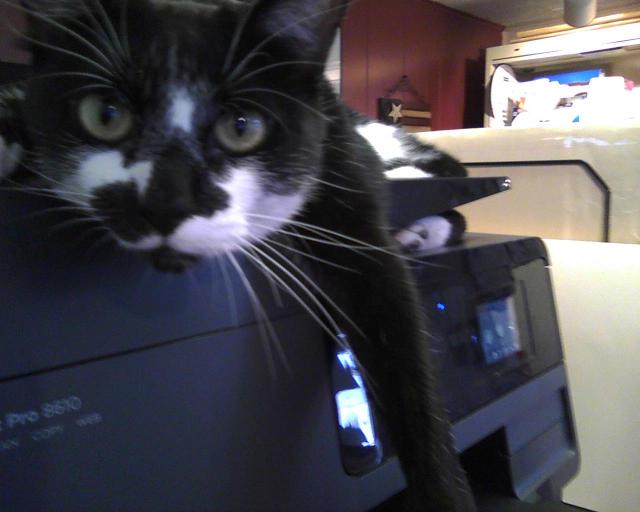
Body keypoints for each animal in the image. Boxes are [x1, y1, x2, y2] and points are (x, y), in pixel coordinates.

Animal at [0, 0, 475, 510]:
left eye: (241, 127)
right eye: (106, 115)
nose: (166, 200)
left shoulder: (344, 175)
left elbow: (406, 362)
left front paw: (444, 492)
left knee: (452, 174)